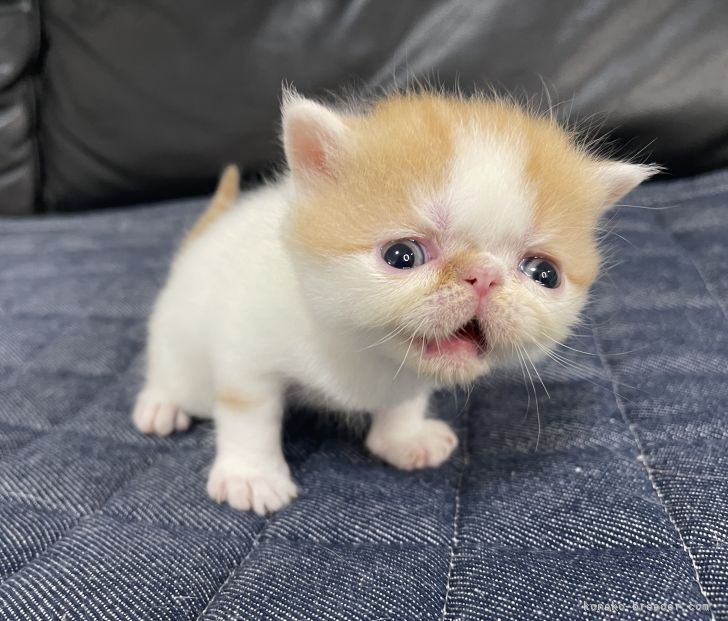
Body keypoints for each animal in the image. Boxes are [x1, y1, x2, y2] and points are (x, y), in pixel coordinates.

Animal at [129, 88, 656, 512]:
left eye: (543, 273)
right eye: (402, 255)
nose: (484, 276)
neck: (362, 353)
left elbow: (403, 402)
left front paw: (404, 439)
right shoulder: (247, 349)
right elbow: (248, 413)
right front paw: (252, 477)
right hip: (179, 339)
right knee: (171, 371)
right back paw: (160, 406)